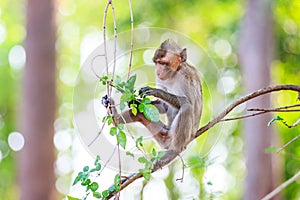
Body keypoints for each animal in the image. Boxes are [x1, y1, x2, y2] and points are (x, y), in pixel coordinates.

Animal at [102, 38, 203, 169]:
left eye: (163, 63)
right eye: (157, 63)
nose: (158, 71)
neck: (174, 73)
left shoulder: (186, 75)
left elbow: (190, 103)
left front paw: (155, 91)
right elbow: (162, 106)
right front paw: (134, 101)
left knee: (187, 108)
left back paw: (173, 151)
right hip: (163, 134)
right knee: (139, 113)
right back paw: (115, 117)